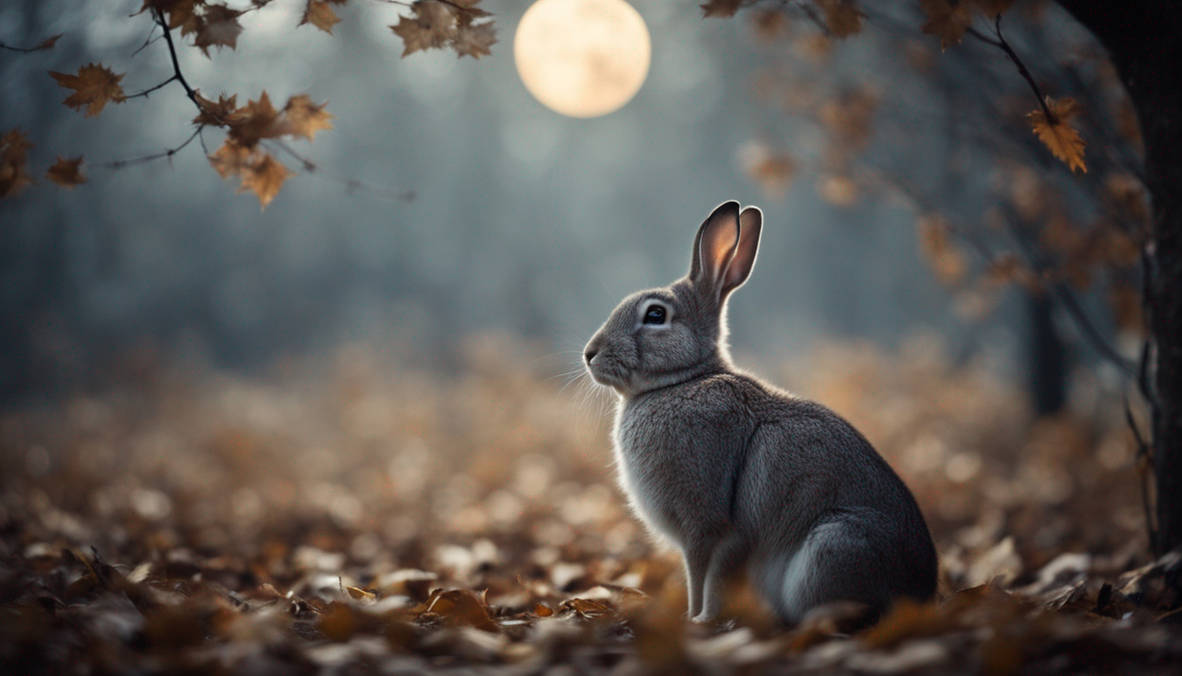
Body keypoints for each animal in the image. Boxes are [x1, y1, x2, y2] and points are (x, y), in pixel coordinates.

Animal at [582, 200, 938, 624]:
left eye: (655, 315)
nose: (589, 354)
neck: (683, 381)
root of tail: (919, 593)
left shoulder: (706, 525)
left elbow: (702, 576)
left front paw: (697, 621)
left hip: (835, 546)